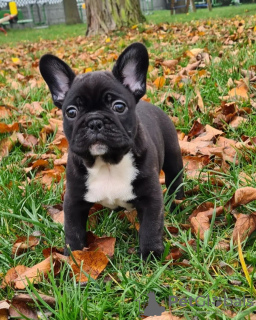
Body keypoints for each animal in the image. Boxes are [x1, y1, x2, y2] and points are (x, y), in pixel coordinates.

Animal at [39, 42, 184, 260]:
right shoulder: (73, 201)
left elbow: (151, 227)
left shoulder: (151, 198)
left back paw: (178, 203)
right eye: (71, 112)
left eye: (119, 106)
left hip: (173, 158)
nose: (94, 121)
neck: (106, 162)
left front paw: (150, 255)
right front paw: (73, 257)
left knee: (175, 179)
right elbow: (73, 231)